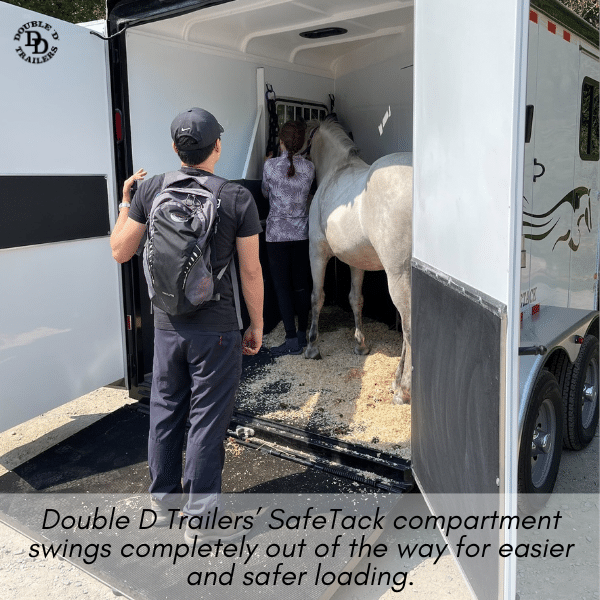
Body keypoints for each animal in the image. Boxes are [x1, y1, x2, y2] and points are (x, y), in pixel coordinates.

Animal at [304, 118, 412, 404]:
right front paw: (360, 344)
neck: (337, 169)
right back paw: (398, 383)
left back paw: (403, 389)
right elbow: (356, 299)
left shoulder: (316, 251)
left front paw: (311, 346)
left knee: (409, 327)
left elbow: (316, 297)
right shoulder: (356, 261)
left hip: (399, 276)